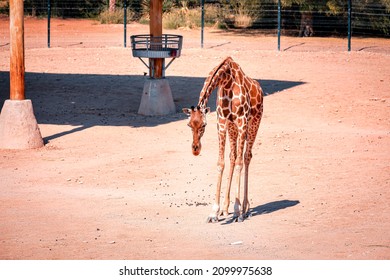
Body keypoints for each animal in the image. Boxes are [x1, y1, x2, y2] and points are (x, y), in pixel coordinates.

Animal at [184, 57, 266, 223]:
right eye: (189, 124)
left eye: (204, 125)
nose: (195, 149)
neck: (227, 80)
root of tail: (260, 89)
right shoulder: (221, 122)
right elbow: (221, 163)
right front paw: (214, 212)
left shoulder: (242, 121)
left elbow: (240, 162)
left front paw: (237, 211)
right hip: (232, 128)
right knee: (233, 156)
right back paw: (225, 208)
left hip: (254, 122)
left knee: (246, 157)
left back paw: (244, 209)